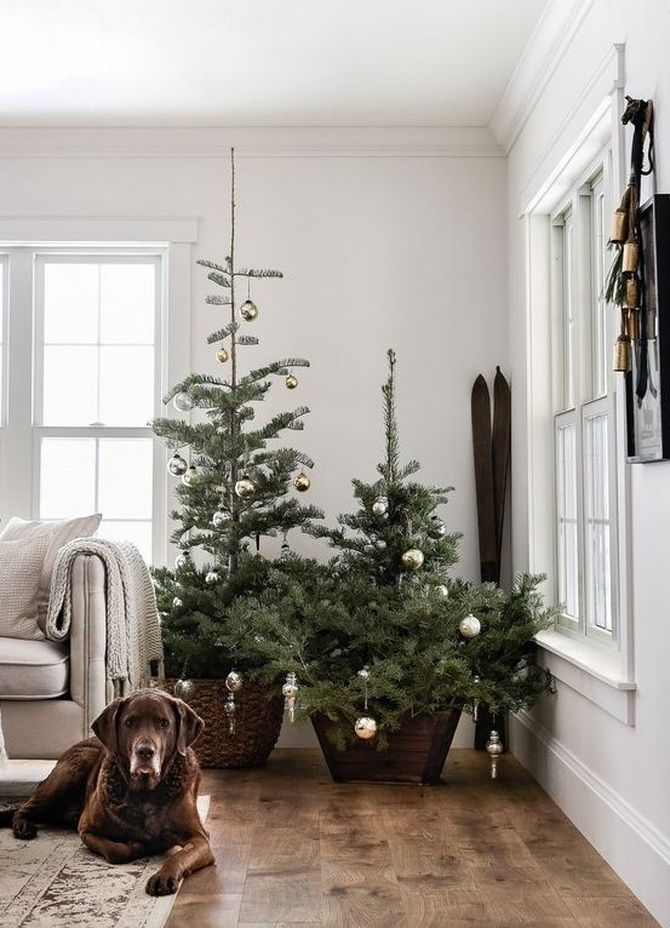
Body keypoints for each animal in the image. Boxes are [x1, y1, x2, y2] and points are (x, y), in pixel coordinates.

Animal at [0, 688, 214, 892]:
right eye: (129, 722)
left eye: (164, 723)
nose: (145, 751)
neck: (144, 793)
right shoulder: (86, 828)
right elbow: (117, 851)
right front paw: (139, 845)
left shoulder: (200, 838)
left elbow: (179, 855)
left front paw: (163, 876)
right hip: (72, 770)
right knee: (24, 808)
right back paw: (23, 826)